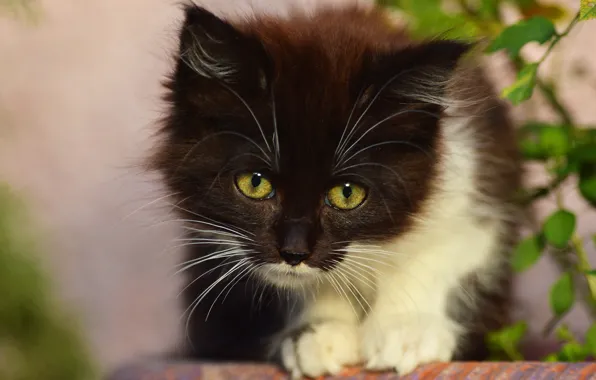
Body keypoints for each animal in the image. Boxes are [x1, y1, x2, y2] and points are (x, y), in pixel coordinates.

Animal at [150, 2, 520, 378]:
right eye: (255, 183)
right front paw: (319, 333)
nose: (294, 252)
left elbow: (448, 250)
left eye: (347, 193)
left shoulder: (474, 182)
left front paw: (408, 329)